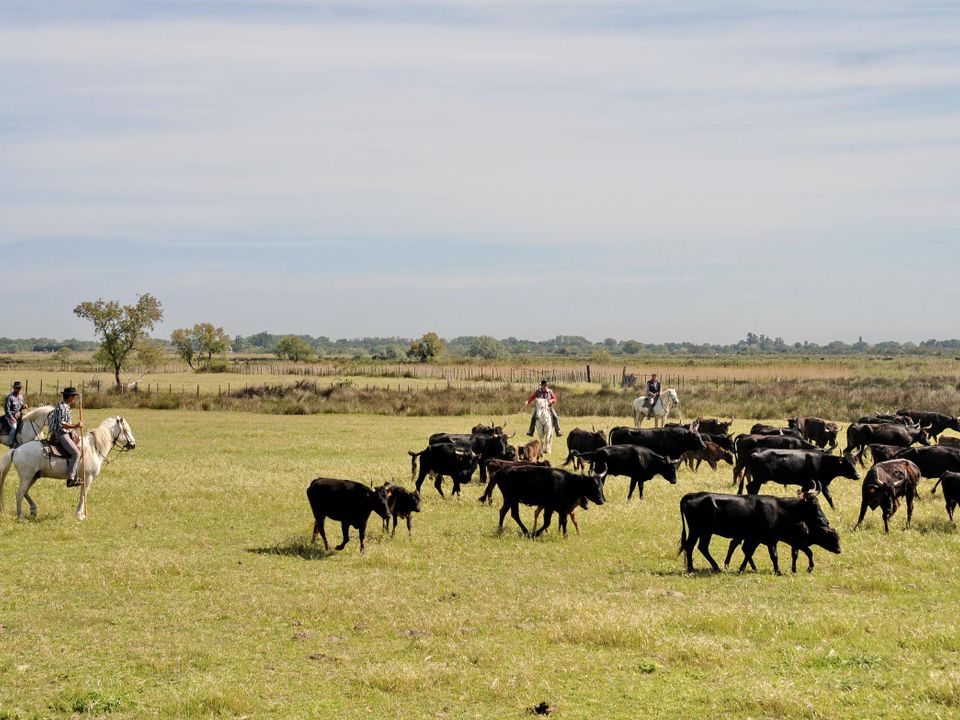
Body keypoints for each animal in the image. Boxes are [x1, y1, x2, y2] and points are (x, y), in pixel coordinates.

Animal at [0, 414, 137, 520]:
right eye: (126, 430)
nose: (133, 444)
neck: (94, 448)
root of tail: (16, 450)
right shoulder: (87, 478)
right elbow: (83, 495)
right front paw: (81, 515)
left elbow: (83, 495)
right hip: (26, 477)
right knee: (19, 494)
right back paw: (21, 517)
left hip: (33, 476)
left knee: (25, 492)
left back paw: (33, 510)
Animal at [676, 490, 840, 572]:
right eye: (814, 505)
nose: (825, 521)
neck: (779, 510)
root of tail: (692, 495)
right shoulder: (770, 540)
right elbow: (773, 555)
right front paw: (778, 571)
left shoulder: (759, 539)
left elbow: (749, 553)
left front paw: (743, 569)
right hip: (697, 530)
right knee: (690, 546)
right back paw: (691, 568)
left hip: (706, 532)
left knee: (702, 547)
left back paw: (716, 567)